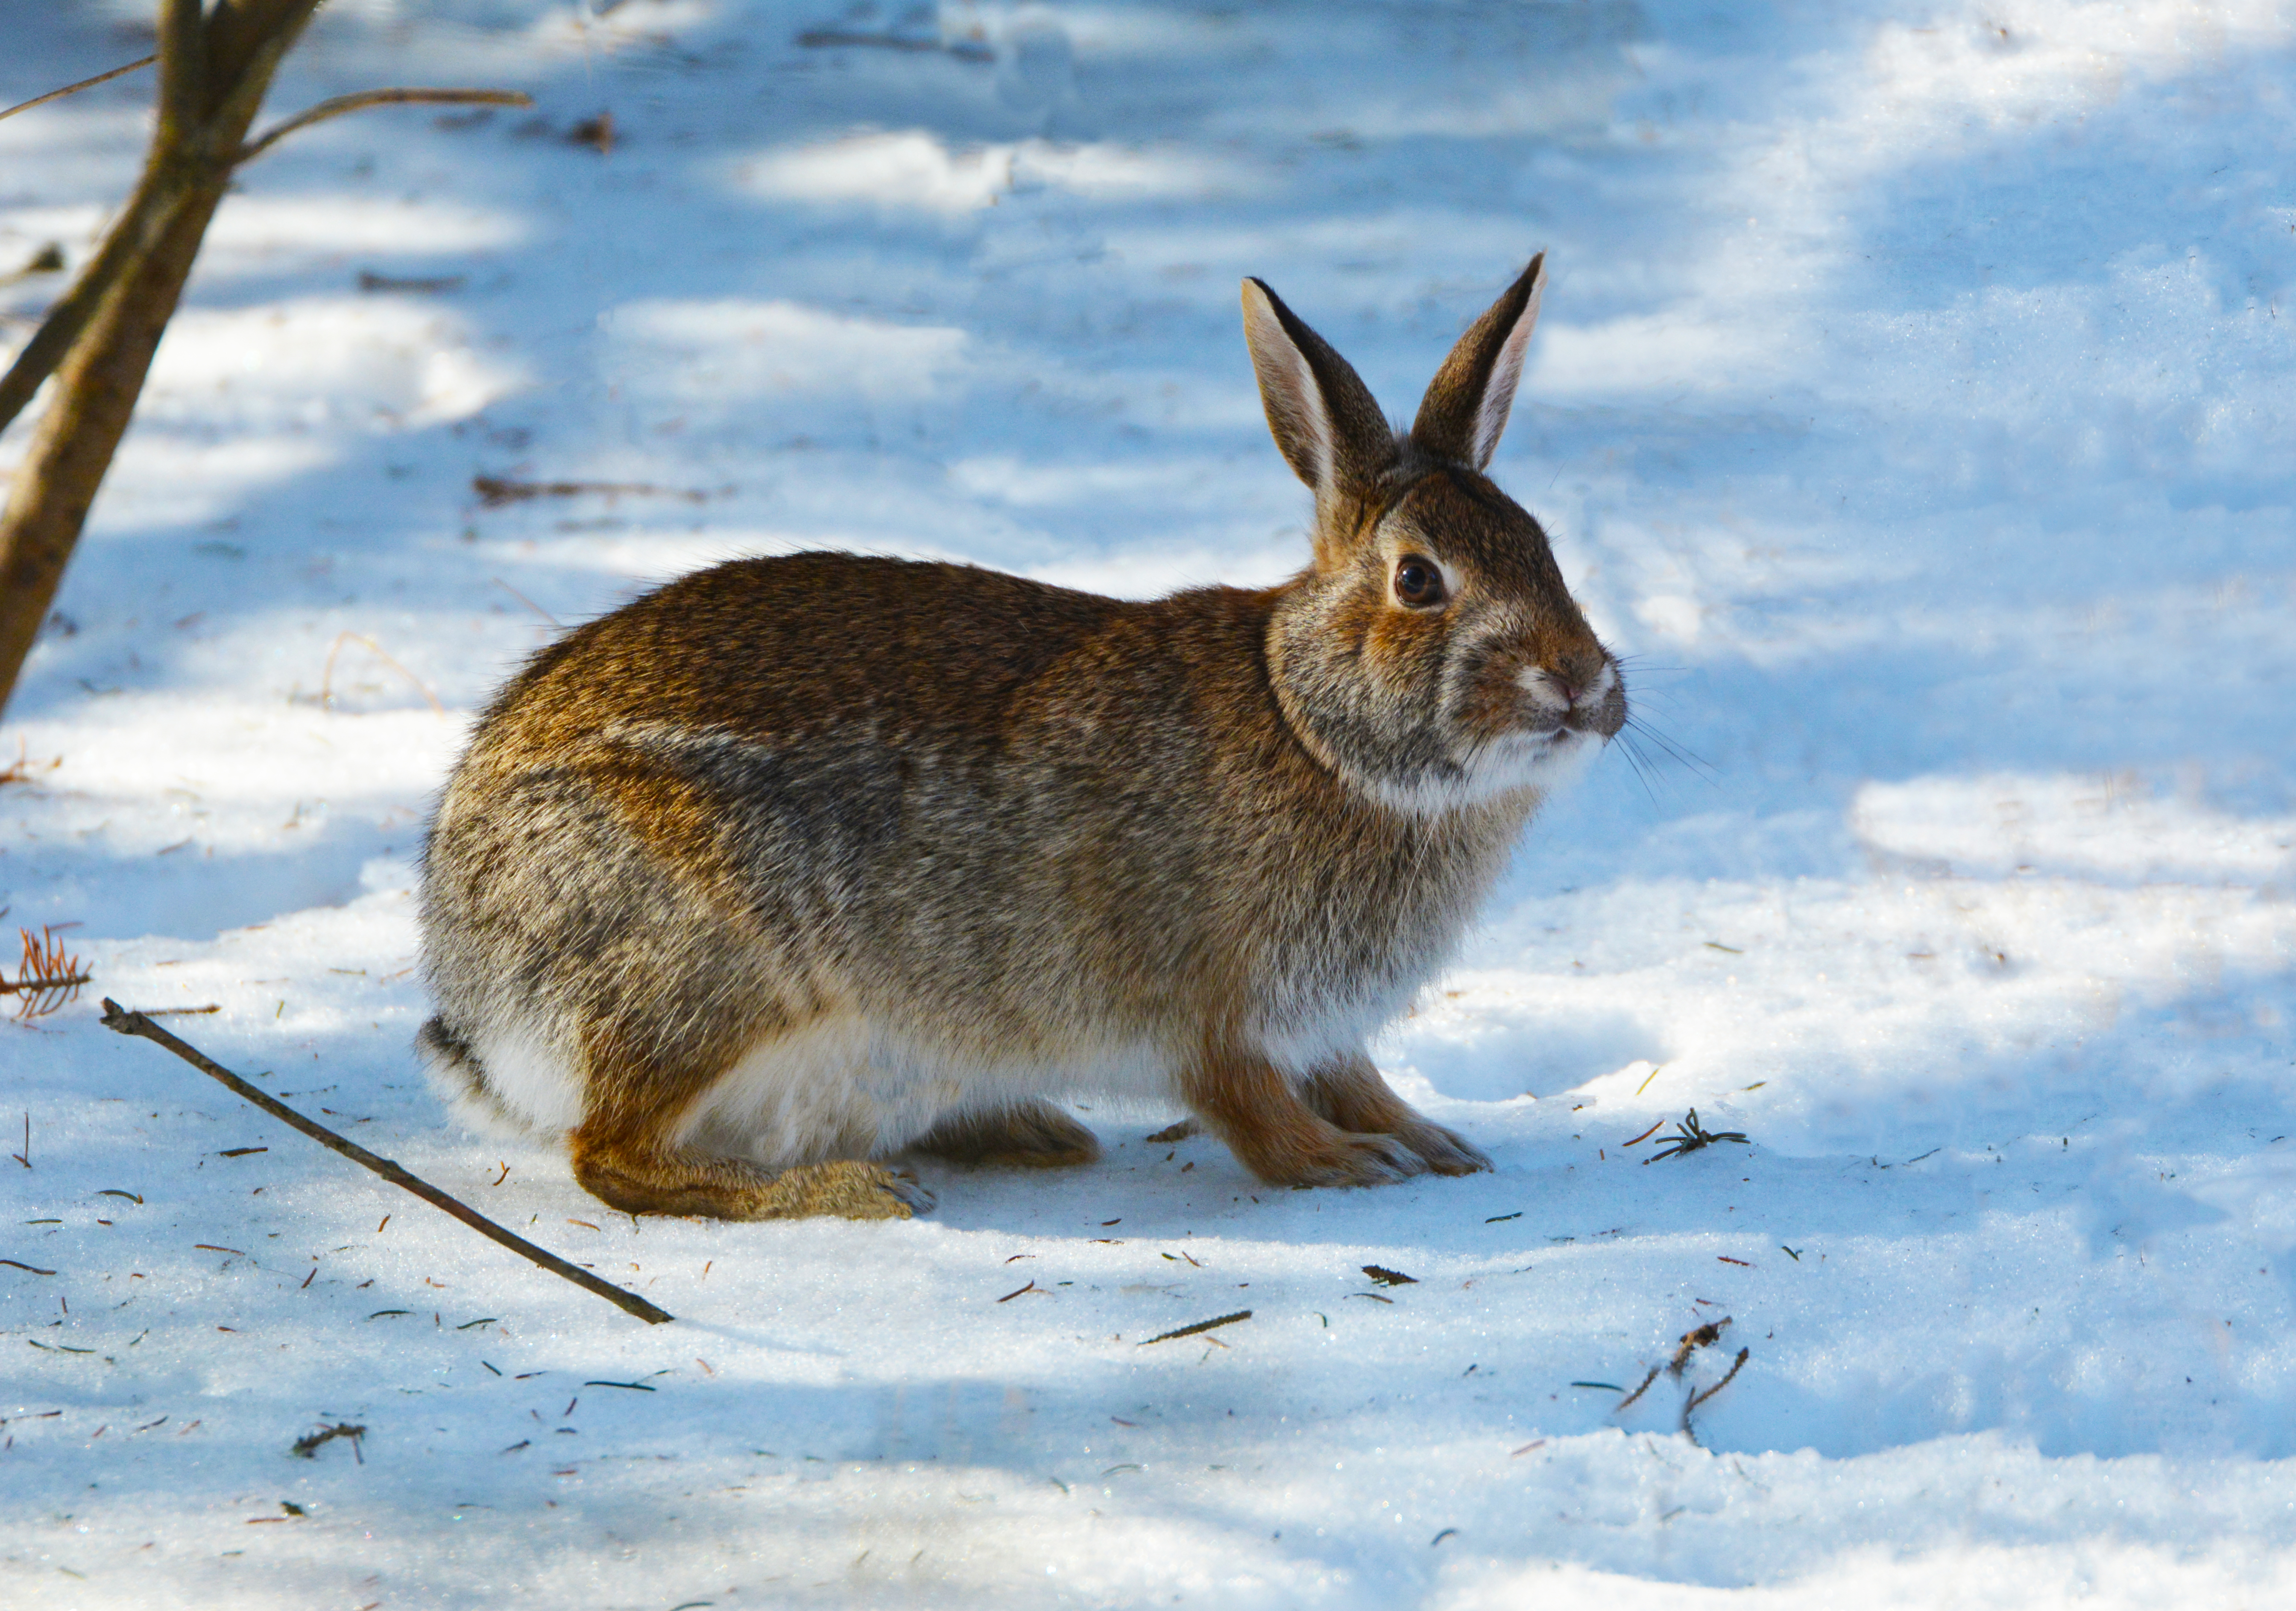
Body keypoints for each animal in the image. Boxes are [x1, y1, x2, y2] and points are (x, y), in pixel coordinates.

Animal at [416, 253, 1627, 1221]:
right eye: (1419, 580)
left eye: (1543, 547)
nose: (1584, 684)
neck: (1313, 726)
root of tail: (472, 980)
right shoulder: (1207, 1003)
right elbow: (1247, 1106)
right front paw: (1348, 1165)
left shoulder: (1322, 1025)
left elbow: (1357, 1076)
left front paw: (1433, 1141)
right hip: (713, 972)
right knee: (610, 1153)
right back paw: (850, 1189)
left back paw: (1027, 1128)